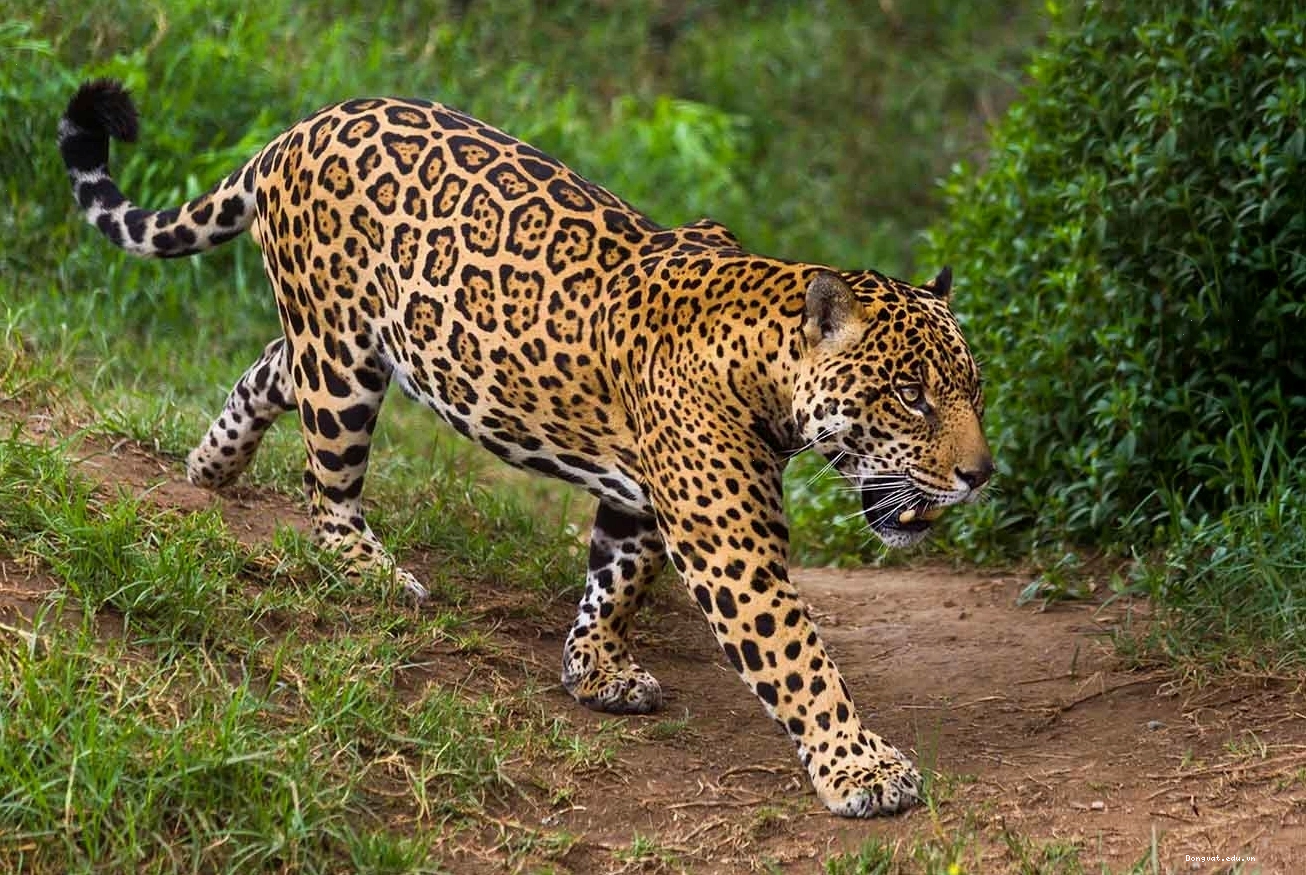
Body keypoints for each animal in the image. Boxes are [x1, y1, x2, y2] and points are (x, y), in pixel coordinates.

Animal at [59, 78, 993, 817]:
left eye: (974, 390)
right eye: (910, 394)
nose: (980, 475)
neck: (761, 358)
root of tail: (299, 129)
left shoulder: (638, 494)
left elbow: (616, 578)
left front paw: (596, 667)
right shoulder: (730, 545)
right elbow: (799, 658)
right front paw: (861, 768)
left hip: (336, 340)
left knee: (269, 368)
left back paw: (211, 465)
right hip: (345, 358)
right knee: (327, 485)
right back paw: (369, 570)